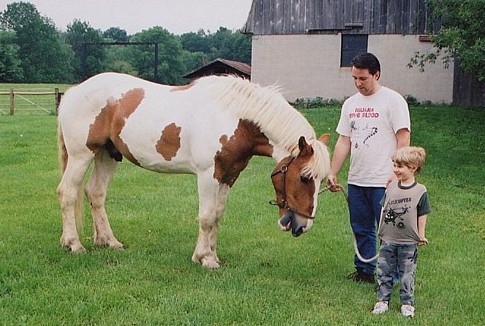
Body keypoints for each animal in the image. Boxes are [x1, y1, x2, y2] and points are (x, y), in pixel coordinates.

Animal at [55, 72, 328, 268]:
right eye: (304, 177)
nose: (302, 226)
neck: (233, 117)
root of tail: (73, 92)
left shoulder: (229, 175)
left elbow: (217, 216)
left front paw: (211, 255)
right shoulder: (208, 175)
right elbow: (206, 217)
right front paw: (205, 259)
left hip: (108, 155)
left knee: (96, 194)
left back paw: (108, 241)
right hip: (81, 155)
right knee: (67, 193)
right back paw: (73, 244)